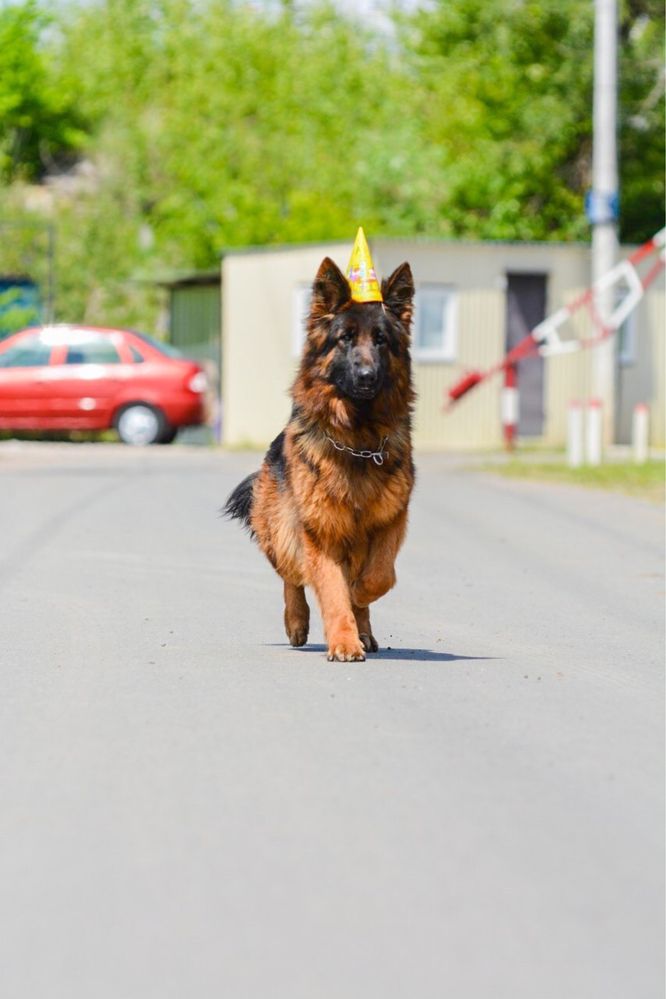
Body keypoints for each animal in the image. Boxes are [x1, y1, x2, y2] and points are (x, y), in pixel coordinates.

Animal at [228, 258, 416, 660]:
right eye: (345, 338)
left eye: (381, 340)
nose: (367, 376)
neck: (358, 440)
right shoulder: (320, 531)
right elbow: (332, 591)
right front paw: (343, 640)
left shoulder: (390, 522)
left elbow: (379, 577)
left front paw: (358, 608)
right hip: (282, 530)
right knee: (291, 577)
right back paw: (297, 622)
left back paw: (365, 630)